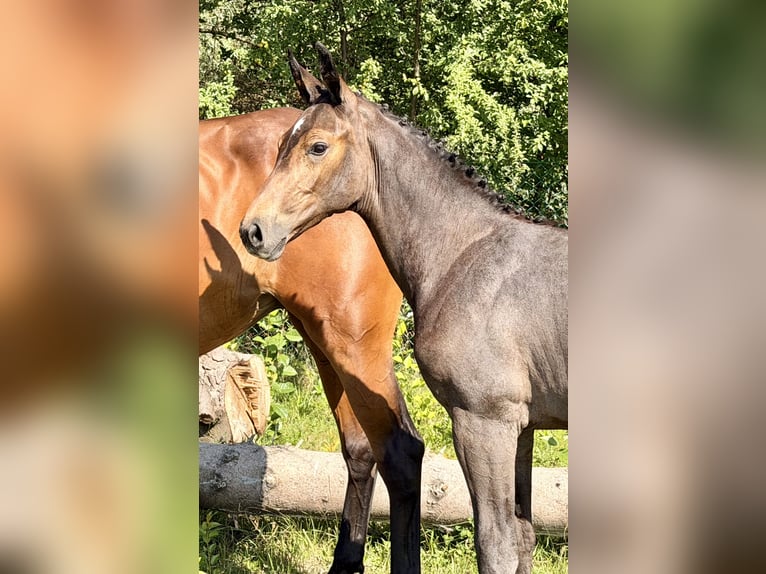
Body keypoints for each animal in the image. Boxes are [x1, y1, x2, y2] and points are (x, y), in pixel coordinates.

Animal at [199, 107, 424, 574]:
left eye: (317, 148)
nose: (253, 231)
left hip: (353, 342)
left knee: (399, 453)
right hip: (324, 340)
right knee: (361, 449)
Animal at [239, 45, 568, 574]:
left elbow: (495, 543)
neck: (462, 255)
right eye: (281, 146)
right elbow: (522, 538)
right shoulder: (523, 426)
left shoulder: (484, 420)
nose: (253, 231)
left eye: (317, 147)